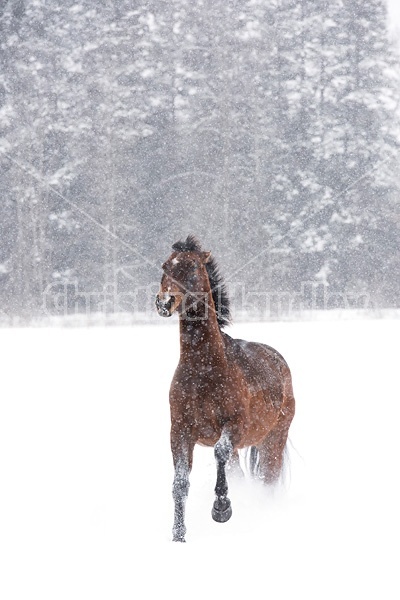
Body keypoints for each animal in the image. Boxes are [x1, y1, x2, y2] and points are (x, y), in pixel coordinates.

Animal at [156, 237, 296, 540]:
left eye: (193, 266)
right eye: (165, 266)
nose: (164, 302)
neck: (203, 371)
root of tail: (280, 361)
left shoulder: (234, 427)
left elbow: (219, 452)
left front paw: (221, 508)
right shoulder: (180, 431)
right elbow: (180, 482)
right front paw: (178, 535)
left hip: (274, 438)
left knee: (268, 479)